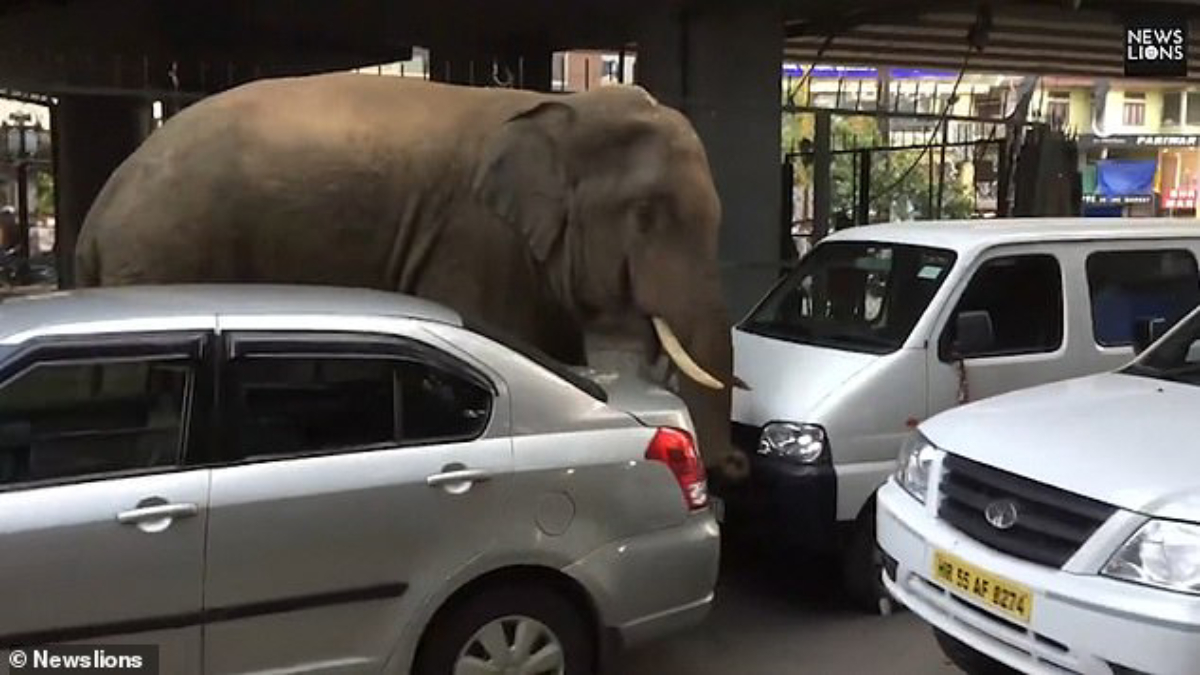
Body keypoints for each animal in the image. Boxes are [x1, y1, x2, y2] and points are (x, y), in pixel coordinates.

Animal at [75, 73, 747, 477]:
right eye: (647, 213)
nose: (733, 465)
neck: (563, 108)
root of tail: (95, 217)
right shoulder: (473, 237)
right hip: (161, 251)